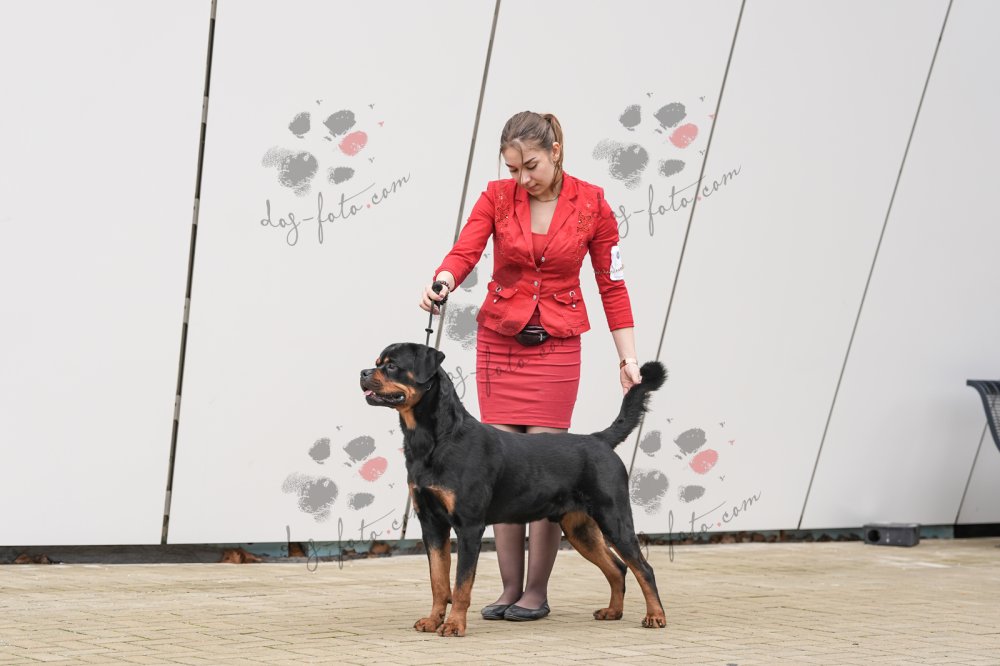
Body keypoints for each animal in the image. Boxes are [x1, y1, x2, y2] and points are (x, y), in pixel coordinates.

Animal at [360, 342, 667, 637]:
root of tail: (600, 440)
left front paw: (455, 625)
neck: (435, 439)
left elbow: (461, 584)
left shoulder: (469, 526)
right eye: (377, 363)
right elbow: (438, 580)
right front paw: (433, 620)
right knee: (618, 567)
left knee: (644, 568)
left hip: (614, 517)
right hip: (579, 528)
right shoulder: (432, 524)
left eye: (392, 366)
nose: (362, 373)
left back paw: (655, 616)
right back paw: (613, 611)